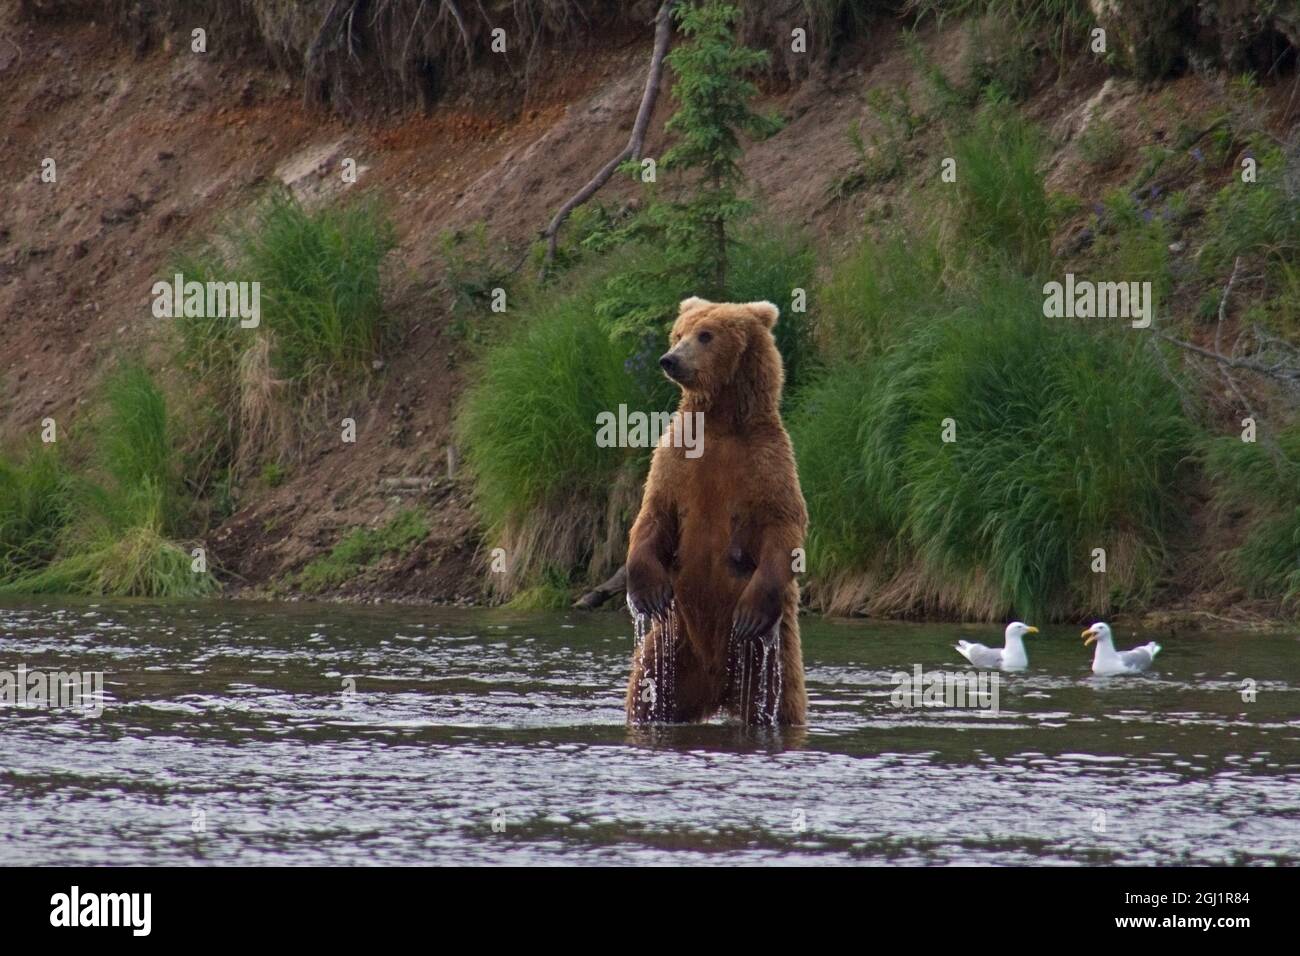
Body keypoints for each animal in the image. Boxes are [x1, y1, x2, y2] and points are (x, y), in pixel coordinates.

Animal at [624, 297, 808, 726]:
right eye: (678, 333)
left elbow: (783, 527)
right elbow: (653, 515)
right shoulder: (675, 458)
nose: (670, 360)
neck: (719, 423)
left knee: (784, 703)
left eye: (705, 335)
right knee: (645, 693)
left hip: (768, 661)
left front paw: (751, 613)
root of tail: (716, 692)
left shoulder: (767, 463)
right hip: (670, 650)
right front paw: (648, 591)